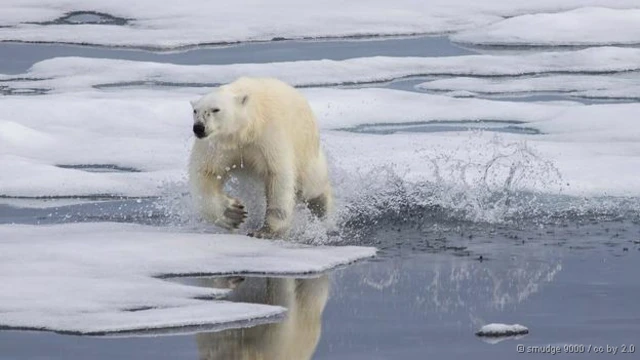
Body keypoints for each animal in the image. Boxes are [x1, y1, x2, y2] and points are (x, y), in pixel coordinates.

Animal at [188, 77, 332, 238]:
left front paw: (265, 231)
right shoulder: (216, 146)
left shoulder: (268, 136)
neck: (244, 131)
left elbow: (277, 175)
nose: (198, 128)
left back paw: (323, 209)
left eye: (215, 109)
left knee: (311, 183)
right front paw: (233, 214)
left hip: (305, 149)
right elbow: (206, 173)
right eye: (195, 111)